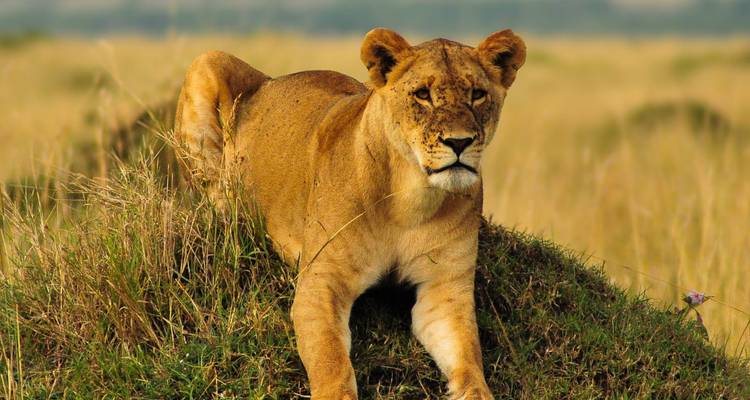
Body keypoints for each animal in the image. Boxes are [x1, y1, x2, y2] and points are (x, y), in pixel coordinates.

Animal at [174, 28, 525, 399]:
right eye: (422, 95)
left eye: (477, 94)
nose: (459, 142)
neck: (412, 199)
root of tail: (271, 79)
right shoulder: (320, 283)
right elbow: (331, 362)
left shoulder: (444, 293)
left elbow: (470, 363)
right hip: (208, 63)